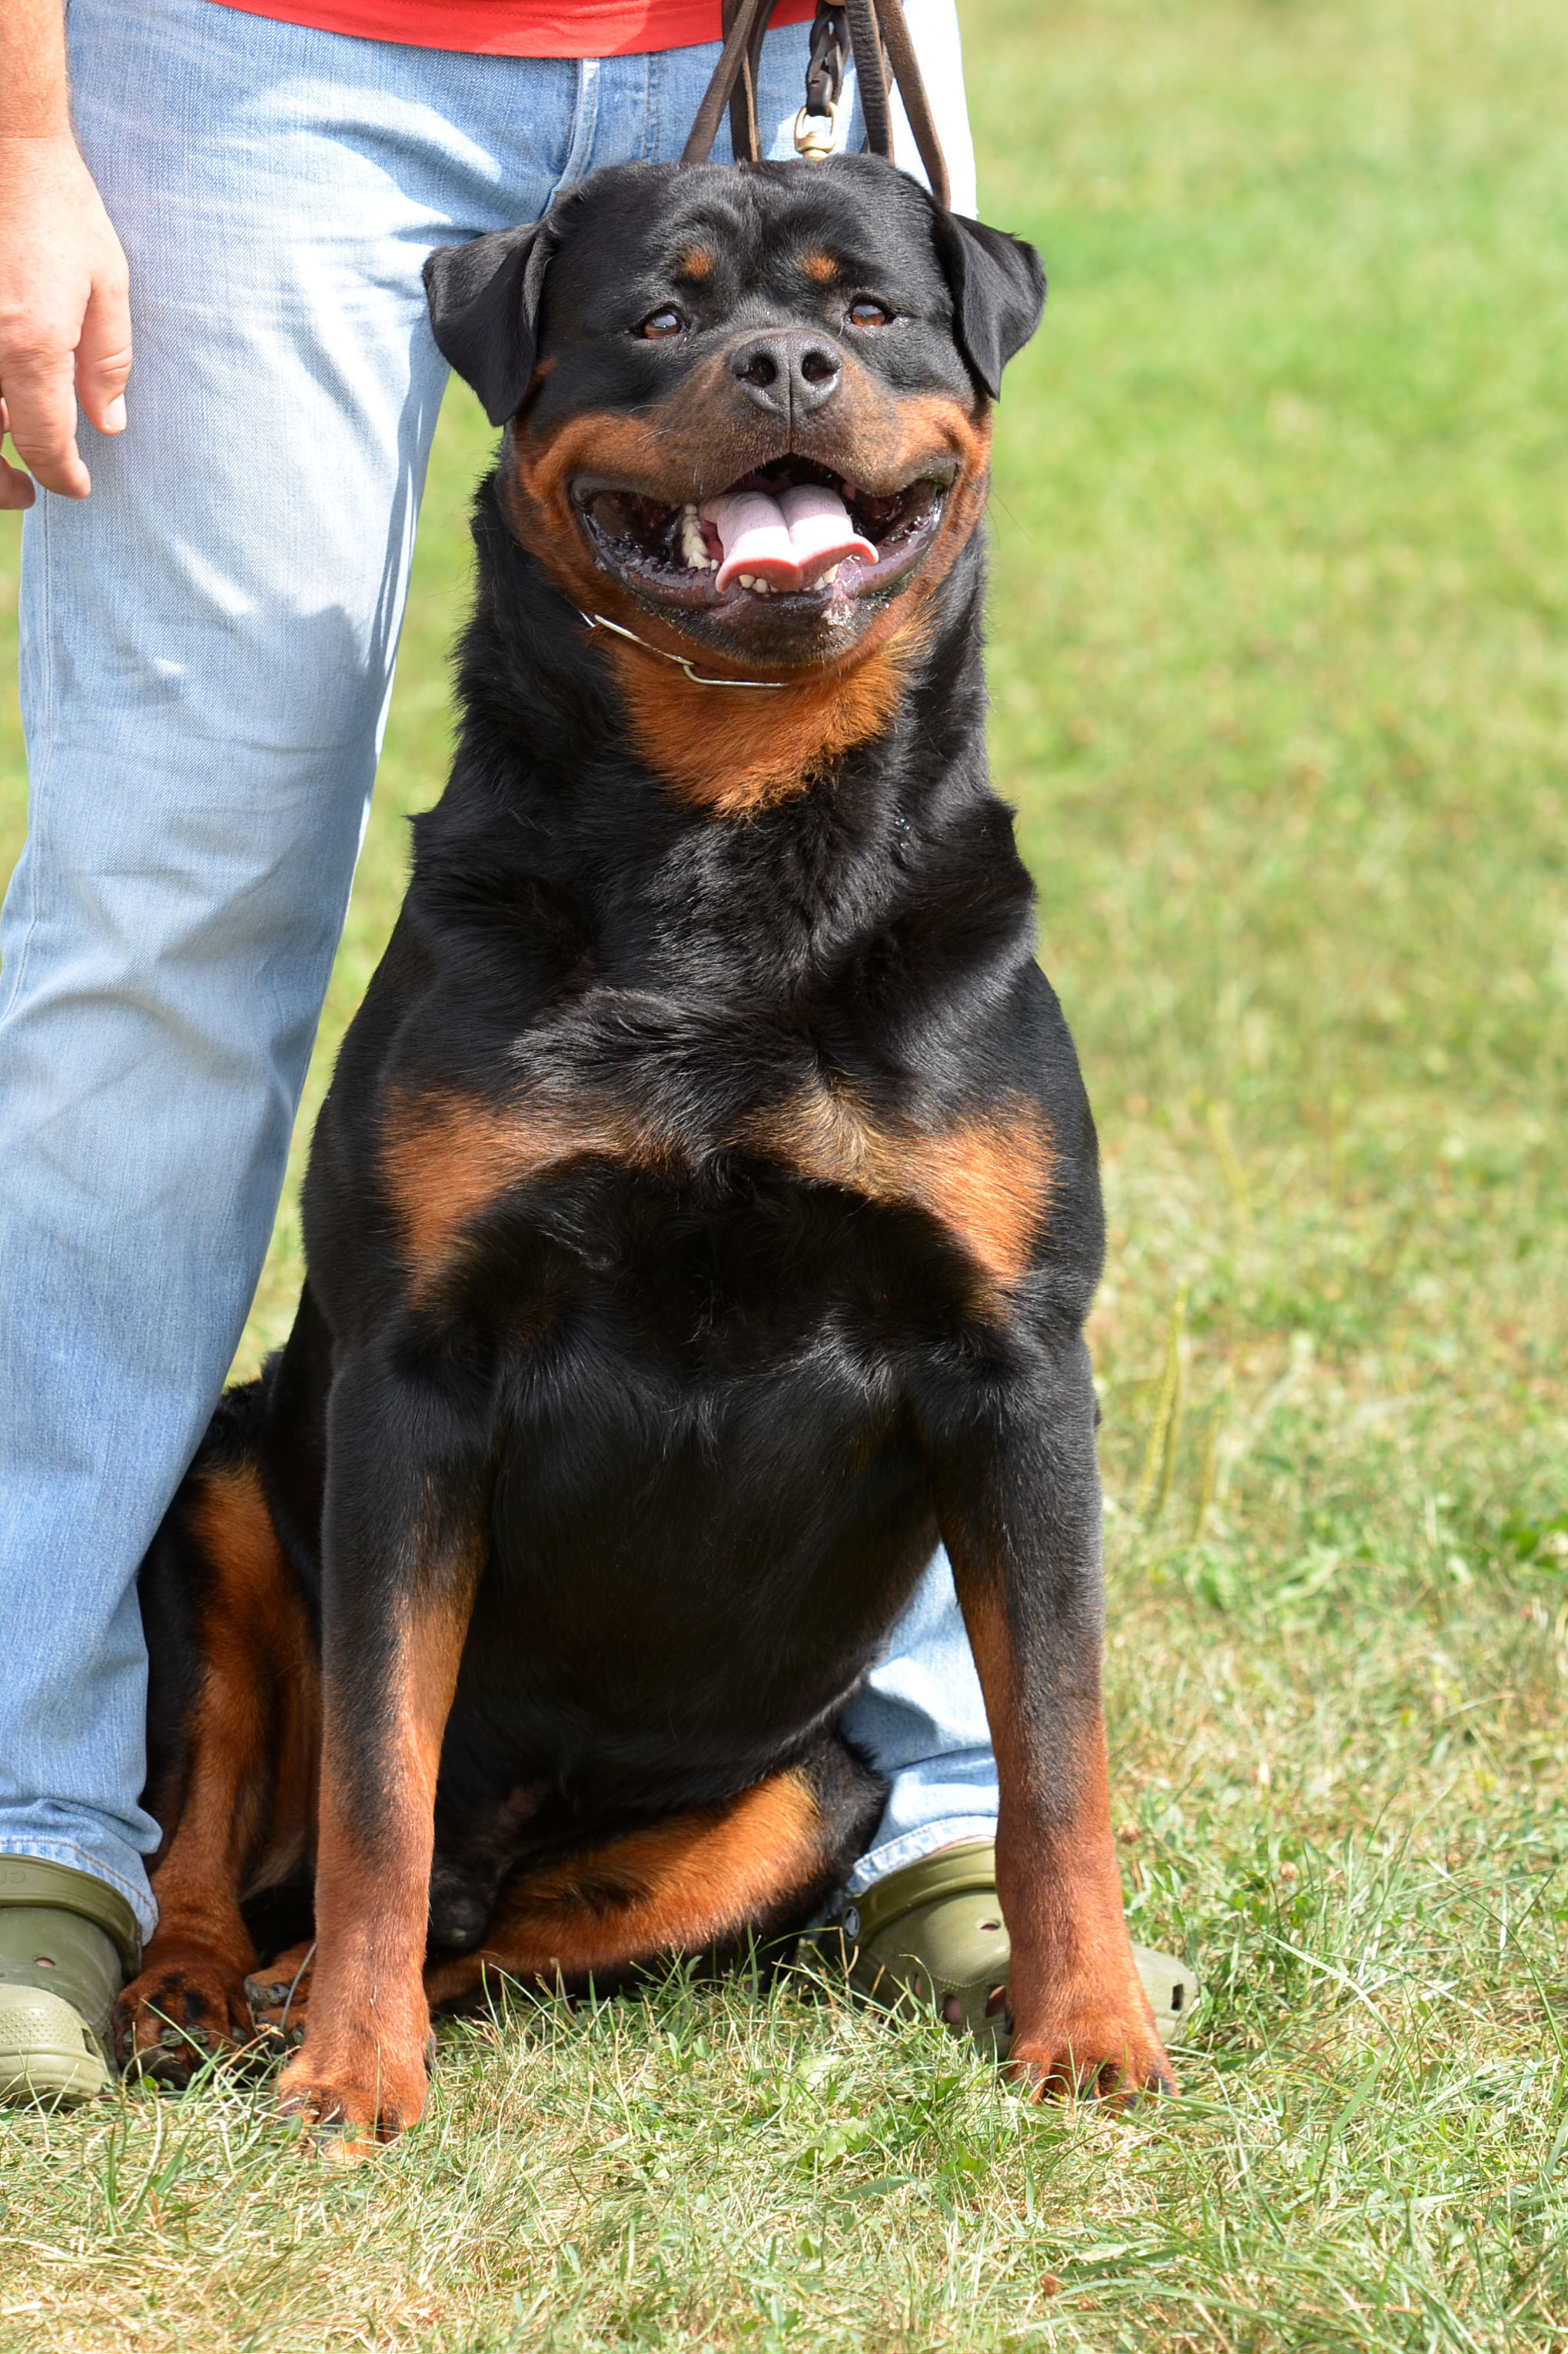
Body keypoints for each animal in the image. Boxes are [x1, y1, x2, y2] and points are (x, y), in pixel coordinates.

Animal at [115, 147, 1172, 2137]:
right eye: (663, 313)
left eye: (868, 310)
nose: (783, 367)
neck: (727, 845)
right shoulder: (412, 1369)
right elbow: (378, 1774)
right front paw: (350, 2076)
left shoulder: (1015, 1365)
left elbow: (1056, 1753)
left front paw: (1089, 2028)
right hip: (223, 1488)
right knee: (240, 1829)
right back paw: (204, 1986)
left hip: (805, 1791)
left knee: (505, 1933)